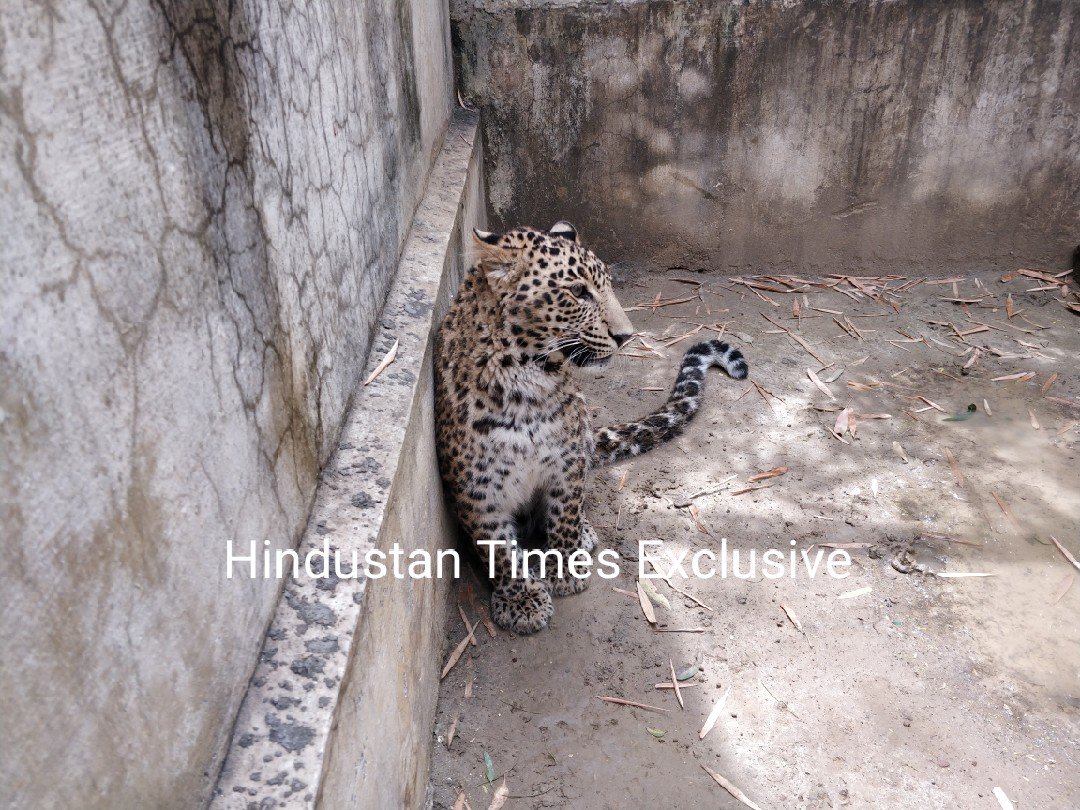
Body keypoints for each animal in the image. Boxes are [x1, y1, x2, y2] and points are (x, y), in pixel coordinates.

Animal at [433, 221, 748, 634]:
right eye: (578, 292)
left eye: (606, 286)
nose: (625, 336)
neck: (527, 382)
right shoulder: (477, 487)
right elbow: (499, 548)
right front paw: (521, 599)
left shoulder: (566, 461)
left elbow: (564, 516)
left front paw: (565, 567)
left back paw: (584, 532)